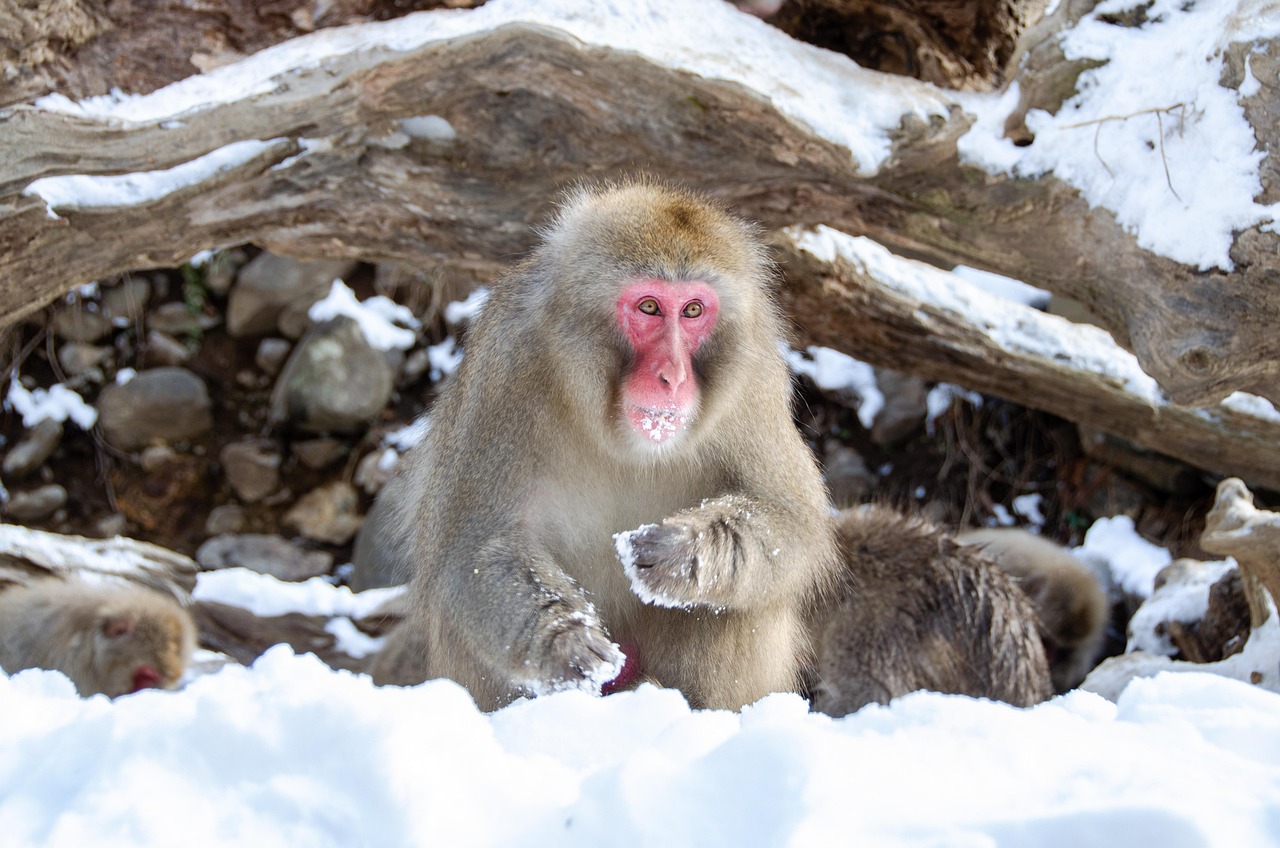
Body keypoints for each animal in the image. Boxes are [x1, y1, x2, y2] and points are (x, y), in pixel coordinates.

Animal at [370, 180, 840, 711]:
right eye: (649, 307)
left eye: (693, 310)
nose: (673, 376)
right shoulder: (506, 365)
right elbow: (474, 547)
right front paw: (563, 640)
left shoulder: (755, 379)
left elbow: (792, 522)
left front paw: (685, 552)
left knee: (740, 603)